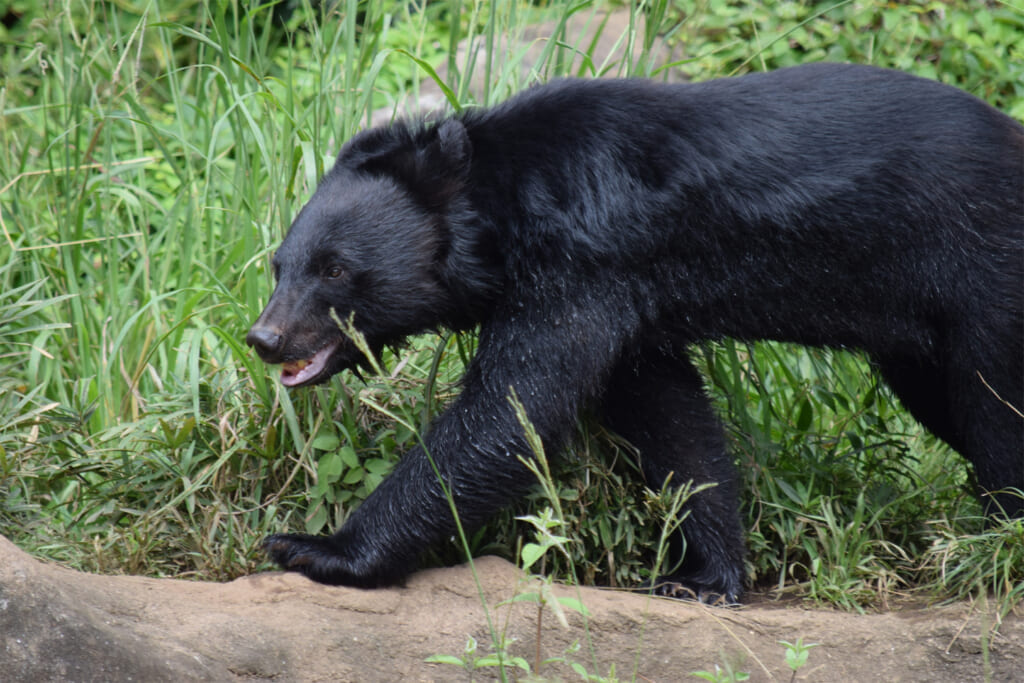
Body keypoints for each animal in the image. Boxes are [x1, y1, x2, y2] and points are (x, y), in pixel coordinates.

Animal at [247, 61, 1024, 602]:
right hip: (919, 336)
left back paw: (1000, 542)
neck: (501, 207)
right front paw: (701, 577)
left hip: (984, 278)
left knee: (996, 410)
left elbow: (511, 411)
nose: (264, 338)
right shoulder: (631, 298)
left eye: (336, 269)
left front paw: (314, 547)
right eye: (280, 265)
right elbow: (673, 421)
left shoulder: (583, 260)